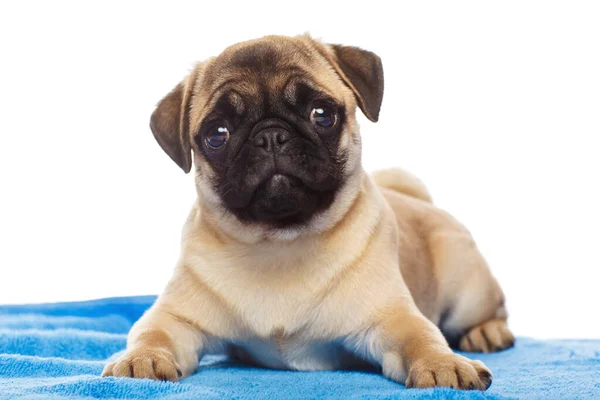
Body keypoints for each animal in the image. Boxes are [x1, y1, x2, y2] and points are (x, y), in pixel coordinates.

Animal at [101, 34, 512, 390]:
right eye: (217, 134)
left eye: (322, 114)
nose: (270, 135)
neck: (281, 243)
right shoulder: (176, 318)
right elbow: (152, 333)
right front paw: (139, 359)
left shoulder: (393, 319)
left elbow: (423, 337)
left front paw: (444, 363)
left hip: (467, 289)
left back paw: (486, 331)